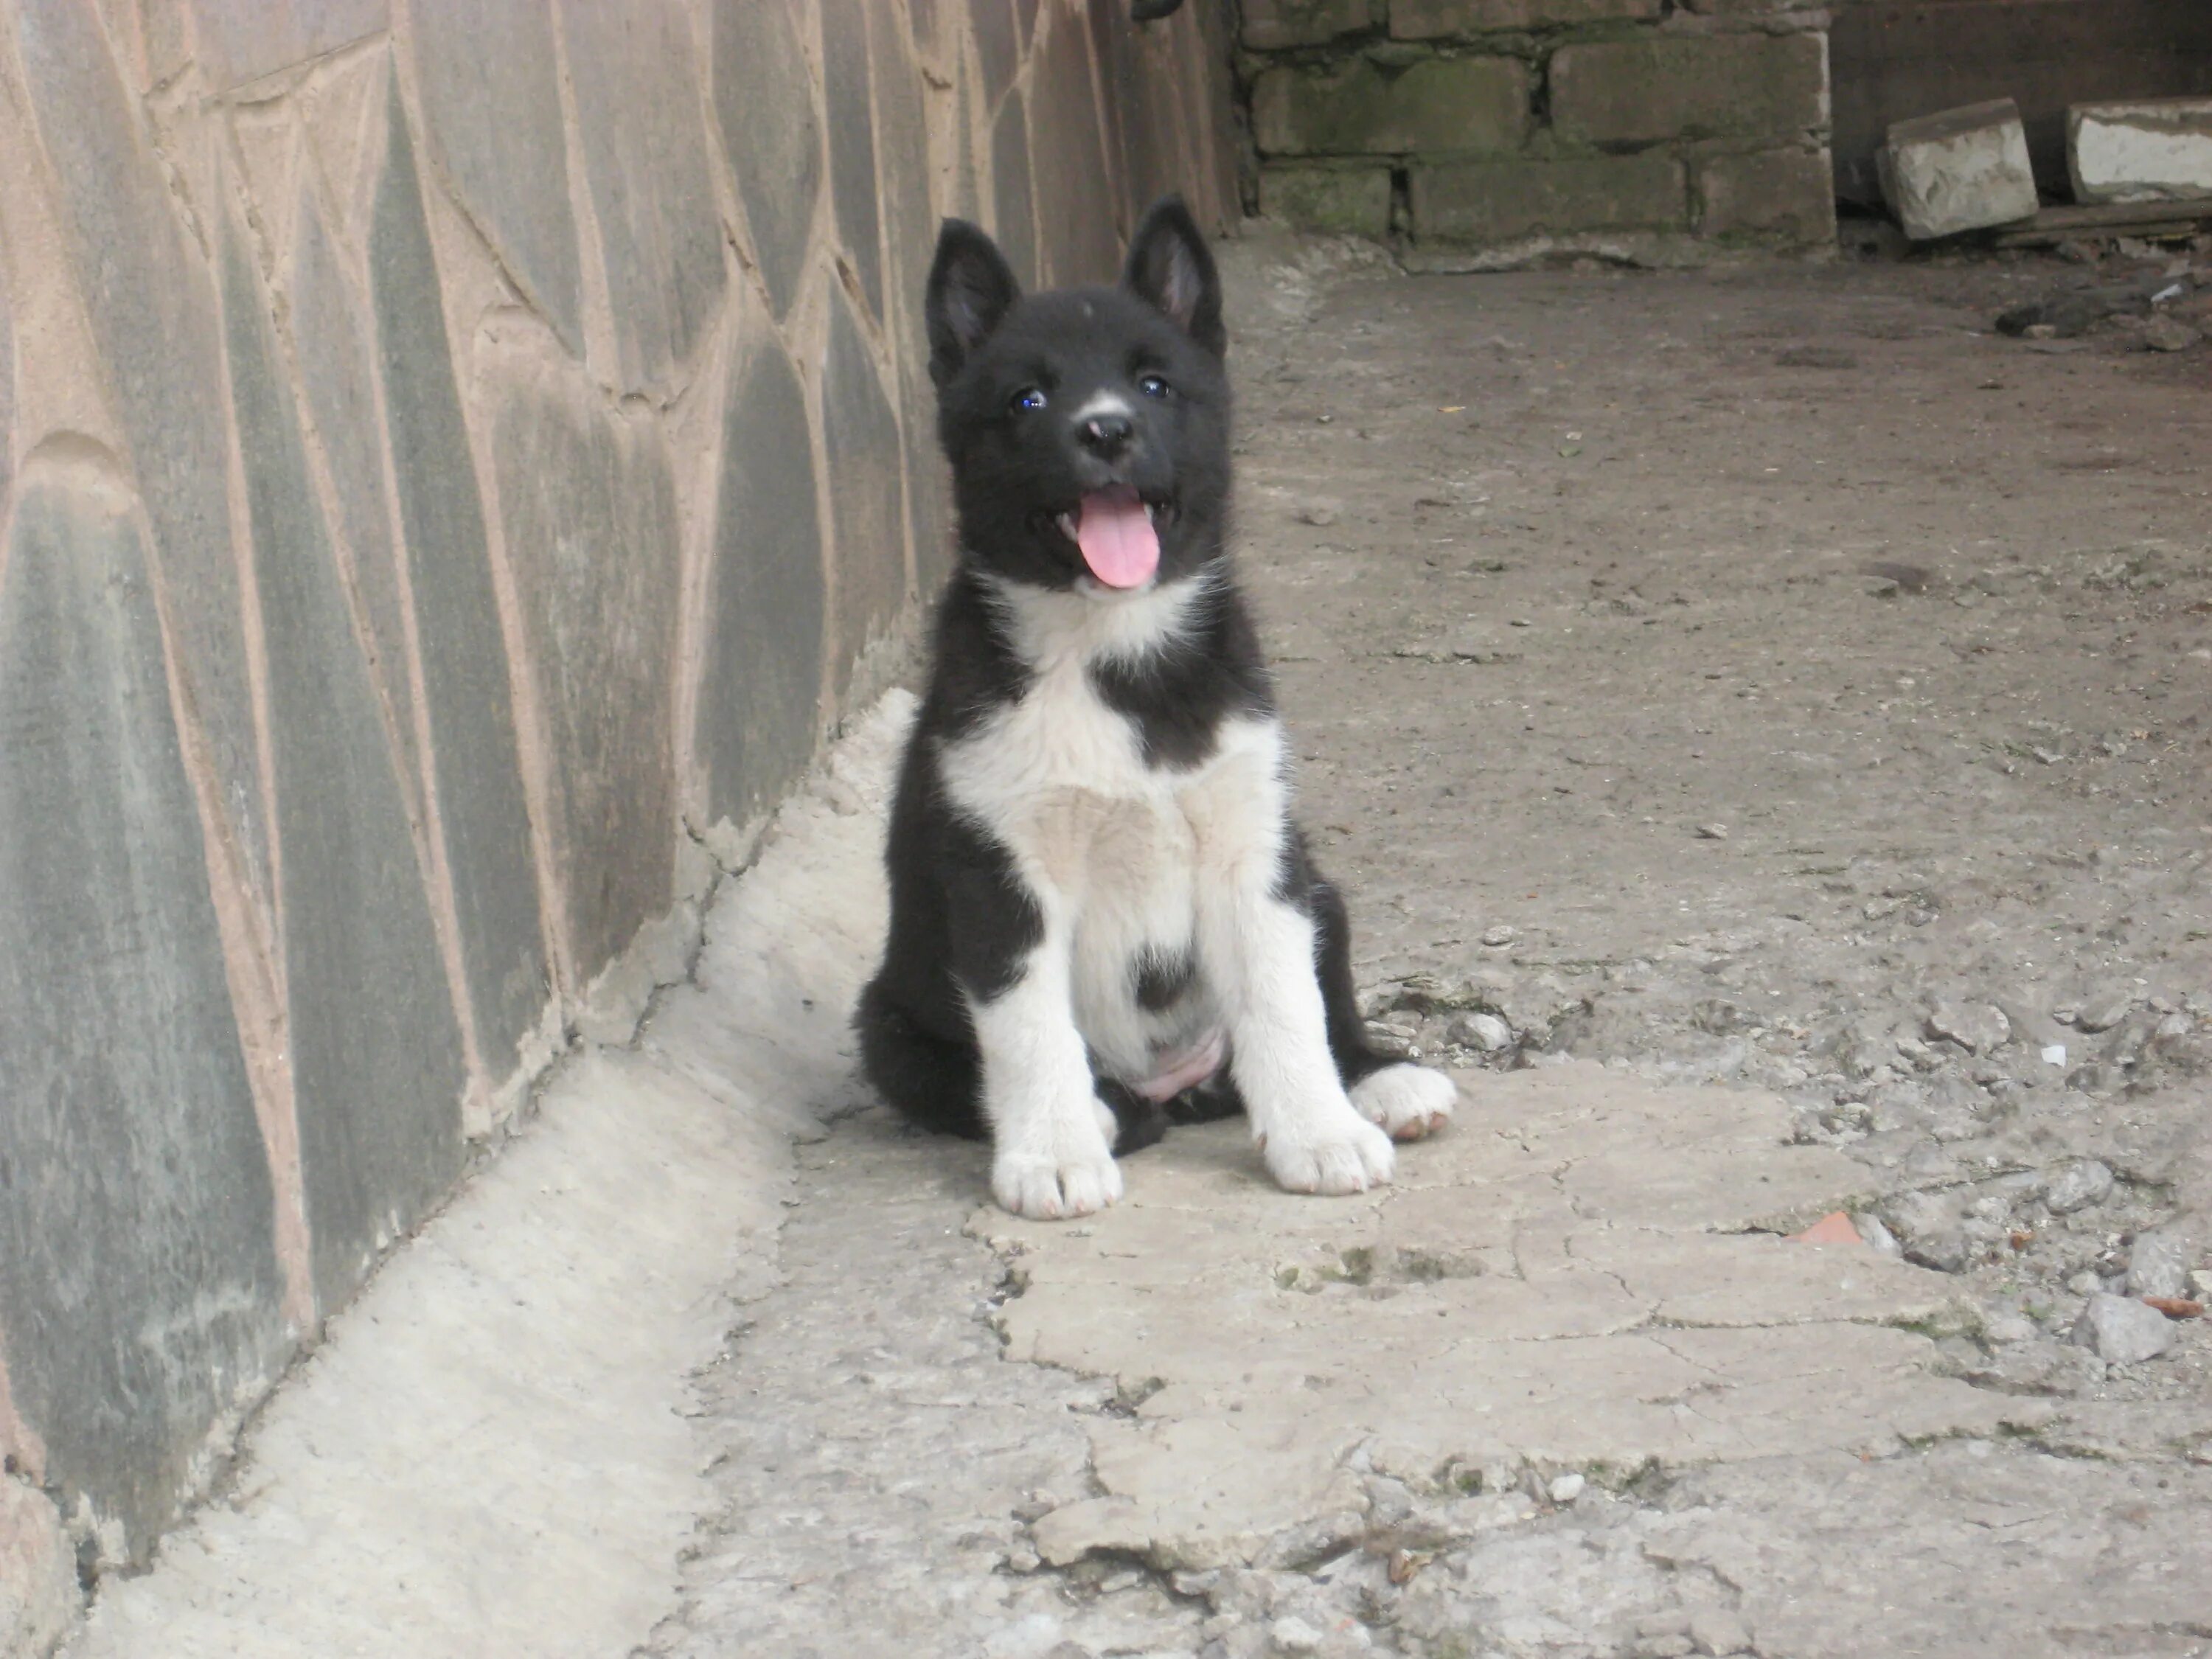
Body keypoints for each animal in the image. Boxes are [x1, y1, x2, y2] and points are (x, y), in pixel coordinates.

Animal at [845, 204, 1451, 1221]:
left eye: (1156, 384)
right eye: (1028, 401)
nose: (1106, 431)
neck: (1112, 656)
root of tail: (1179, 1085)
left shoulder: (1255, 847)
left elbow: (1285, 999)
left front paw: (1319, 1133)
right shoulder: (999, 873)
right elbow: (1028, 1027)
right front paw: (1052, 1155)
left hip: (1320, 886)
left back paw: (1381, 1079)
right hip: (888, 1028)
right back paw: (1101, 1113)